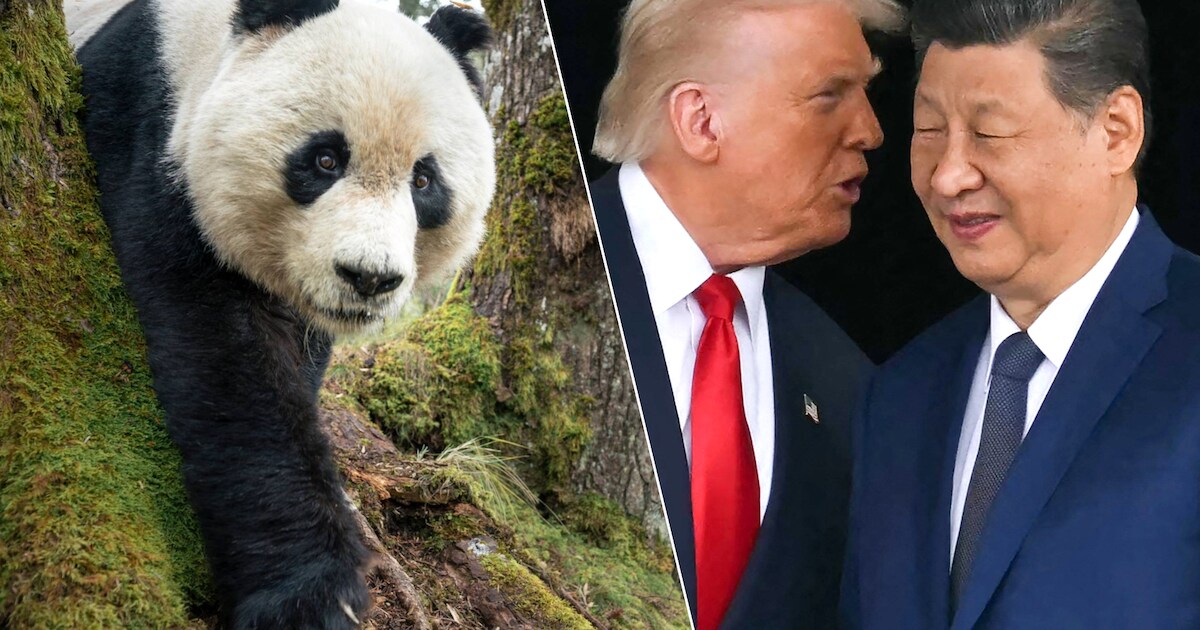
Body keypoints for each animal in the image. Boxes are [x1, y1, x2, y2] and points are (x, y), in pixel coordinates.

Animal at [64, 0, 495, 626]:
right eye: (325, 158)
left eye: (423, 180)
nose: (368, 278)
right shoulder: (149, 125)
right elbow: (230, 362)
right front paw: (311, 594)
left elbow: (299, 355)